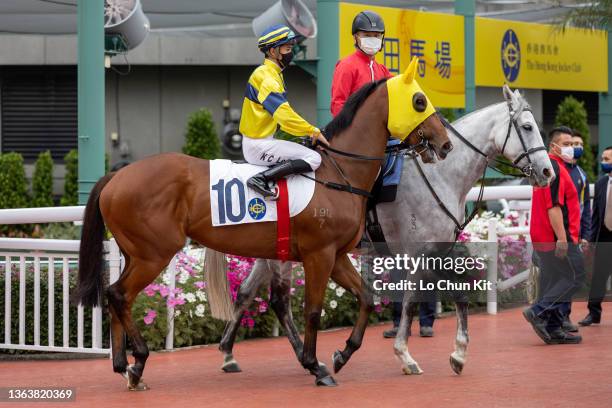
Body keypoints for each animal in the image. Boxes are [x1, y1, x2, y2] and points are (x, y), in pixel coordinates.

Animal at [74, 58, 452, 388]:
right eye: (420, 101)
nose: (445, 144)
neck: (337, 173)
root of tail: (117, 175)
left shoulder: (337, 255)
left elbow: (367, 297)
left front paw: (342, 354)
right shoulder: (319, 255)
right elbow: (313, 310)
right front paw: (317, 367)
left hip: (136, 253)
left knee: (117, 296)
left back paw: (125, 367)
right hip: (154, 254)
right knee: (119, 294)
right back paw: (138, 360)